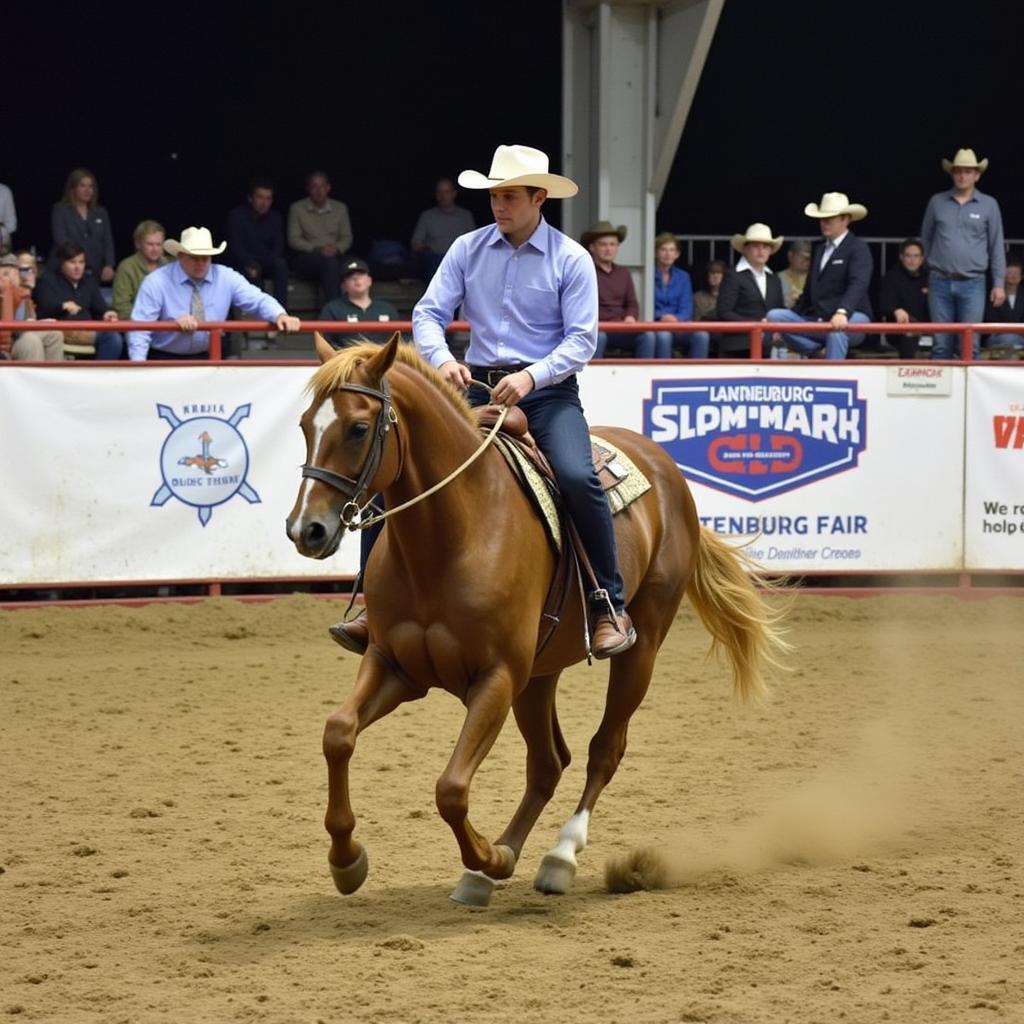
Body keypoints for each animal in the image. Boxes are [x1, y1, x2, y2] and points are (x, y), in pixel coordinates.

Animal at [292, 331, 786, 909]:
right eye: (305, 425)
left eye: (358, 427)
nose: (305, 530)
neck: (453, 535)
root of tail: (667, 471)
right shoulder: (396, 665)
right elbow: (338, 733)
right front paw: (347, 860)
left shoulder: (497, 677)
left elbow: (451, 789)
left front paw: (489, 857)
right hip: (540, 675)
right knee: (550, 762)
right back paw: (494, 868)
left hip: (638, 650)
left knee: (603, 751)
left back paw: (558, 857)